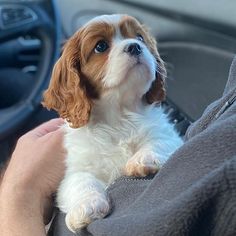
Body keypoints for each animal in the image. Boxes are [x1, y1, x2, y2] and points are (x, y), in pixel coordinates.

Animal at [42, 14, 183, 232]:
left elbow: (159, 141)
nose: (134, 46)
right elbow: (80, 180)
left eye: (139, 37)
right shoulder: (75, 168)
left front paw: (143, 159)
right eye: (101, 46)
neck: (119, 114)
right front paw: (87, 205)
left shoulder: (169, 135)